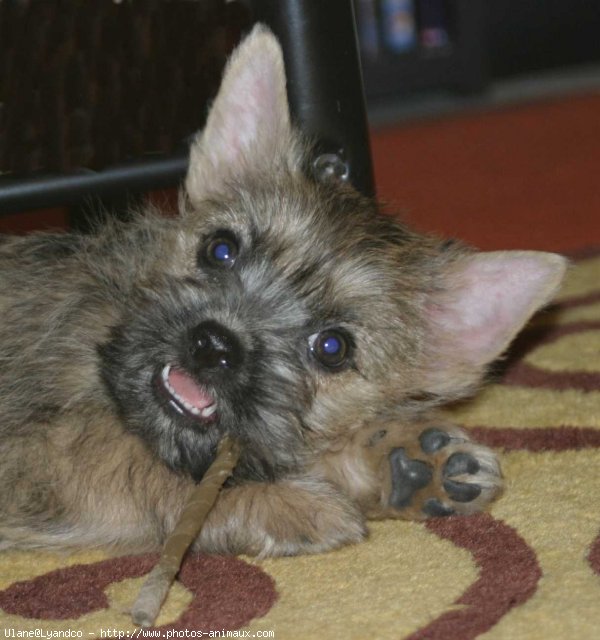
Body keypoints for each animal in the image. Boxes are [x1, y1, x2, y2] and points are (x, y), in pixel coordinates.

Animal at [0, 26, 564, 556]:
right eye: (220, 249)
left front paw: (402, 459)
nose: (214, 344)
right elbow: (139, 461)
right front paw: (291, 501)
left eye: (332, 347)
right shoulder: (41, 452)